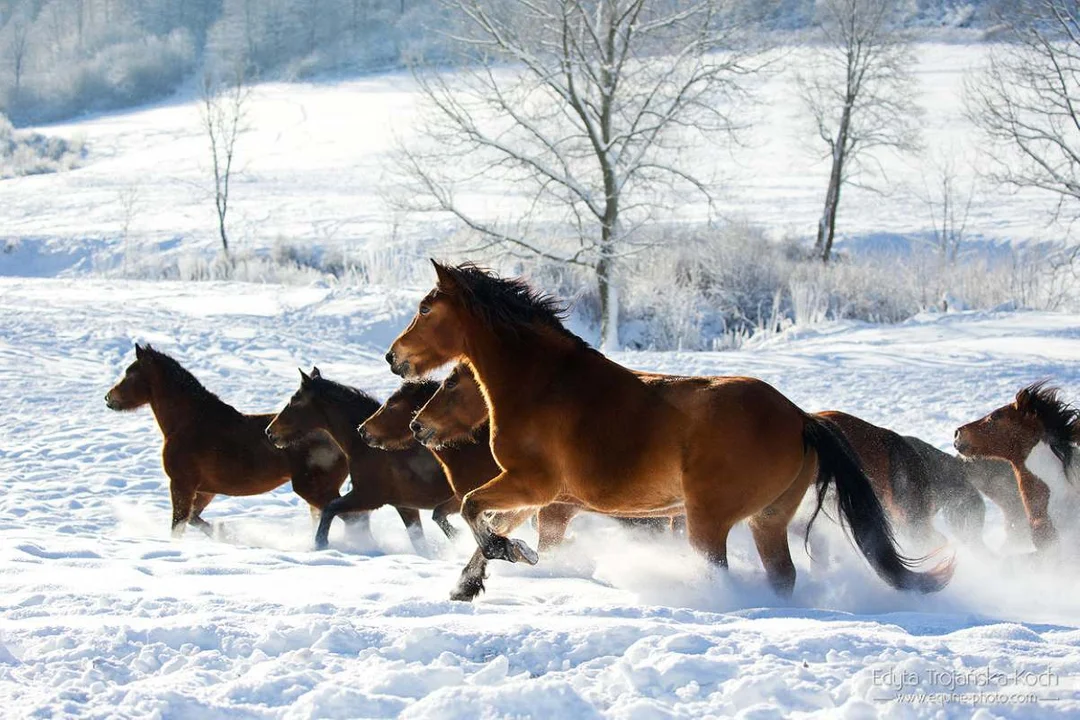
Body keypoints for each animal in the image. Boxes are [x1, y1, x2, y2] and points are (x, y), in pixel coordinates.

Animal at [105, 345, 345, 537]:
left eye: (130, 374)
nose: (109, 398)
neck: (188, 422)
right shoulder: (205, 490)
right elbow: (193, 519)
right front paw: (225, 534)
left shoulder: (182, 484)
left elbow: (178, 525)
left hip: (313, 489)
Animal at [267, 371, 457, 552]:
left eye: (294, 400)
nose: (270, 431)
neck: (368, 448)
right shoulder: (405, 507)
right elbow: (419, 543)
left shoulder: (367, 497)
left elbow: (330, 508)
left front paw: (321, 544)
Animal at [384, 262, 950, 600]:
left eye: (426, 308)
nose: (394, 358)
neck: (545, 384)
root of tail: (800, 418)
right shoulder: (545, 497)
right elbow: (490, 524)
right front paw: (468, 583)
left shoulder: (535, 486)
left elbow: (474, 512)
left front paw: (509, 557)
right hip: (766, 520)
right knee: (781, 575)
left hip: (707, 520)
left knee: (720, 568)